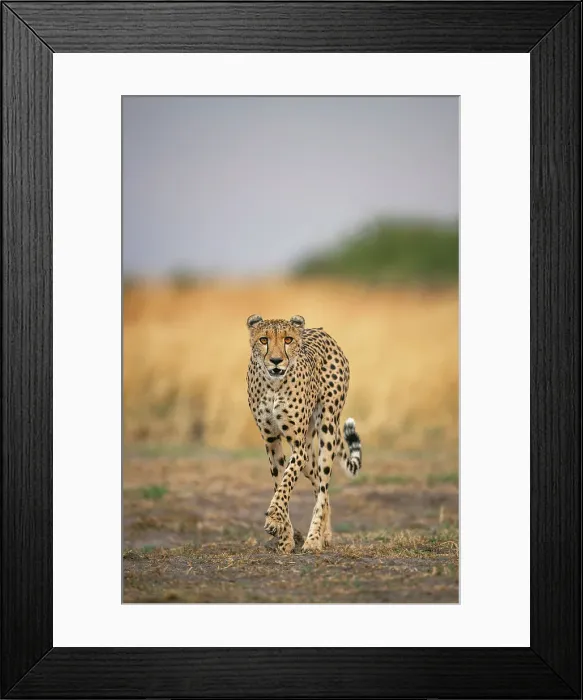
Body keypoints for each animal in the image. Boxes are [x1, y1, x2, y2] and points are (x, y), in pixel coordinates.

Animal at [246, 313, 362, 554]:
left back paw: (313, 540)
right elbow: (280, 482)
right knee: (319, 486)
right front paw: (284, 538)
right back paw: (323, 535)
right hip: (309, 453)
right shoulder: (271, 441)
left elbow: (286, 483)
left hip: (327, 429)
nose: (276, 360)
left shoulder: (298, 447)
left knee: (323, 486)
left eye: (288, 340)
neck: (273, 385)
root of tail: (320, 331)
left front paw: (274, 518)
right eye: (264, 340)